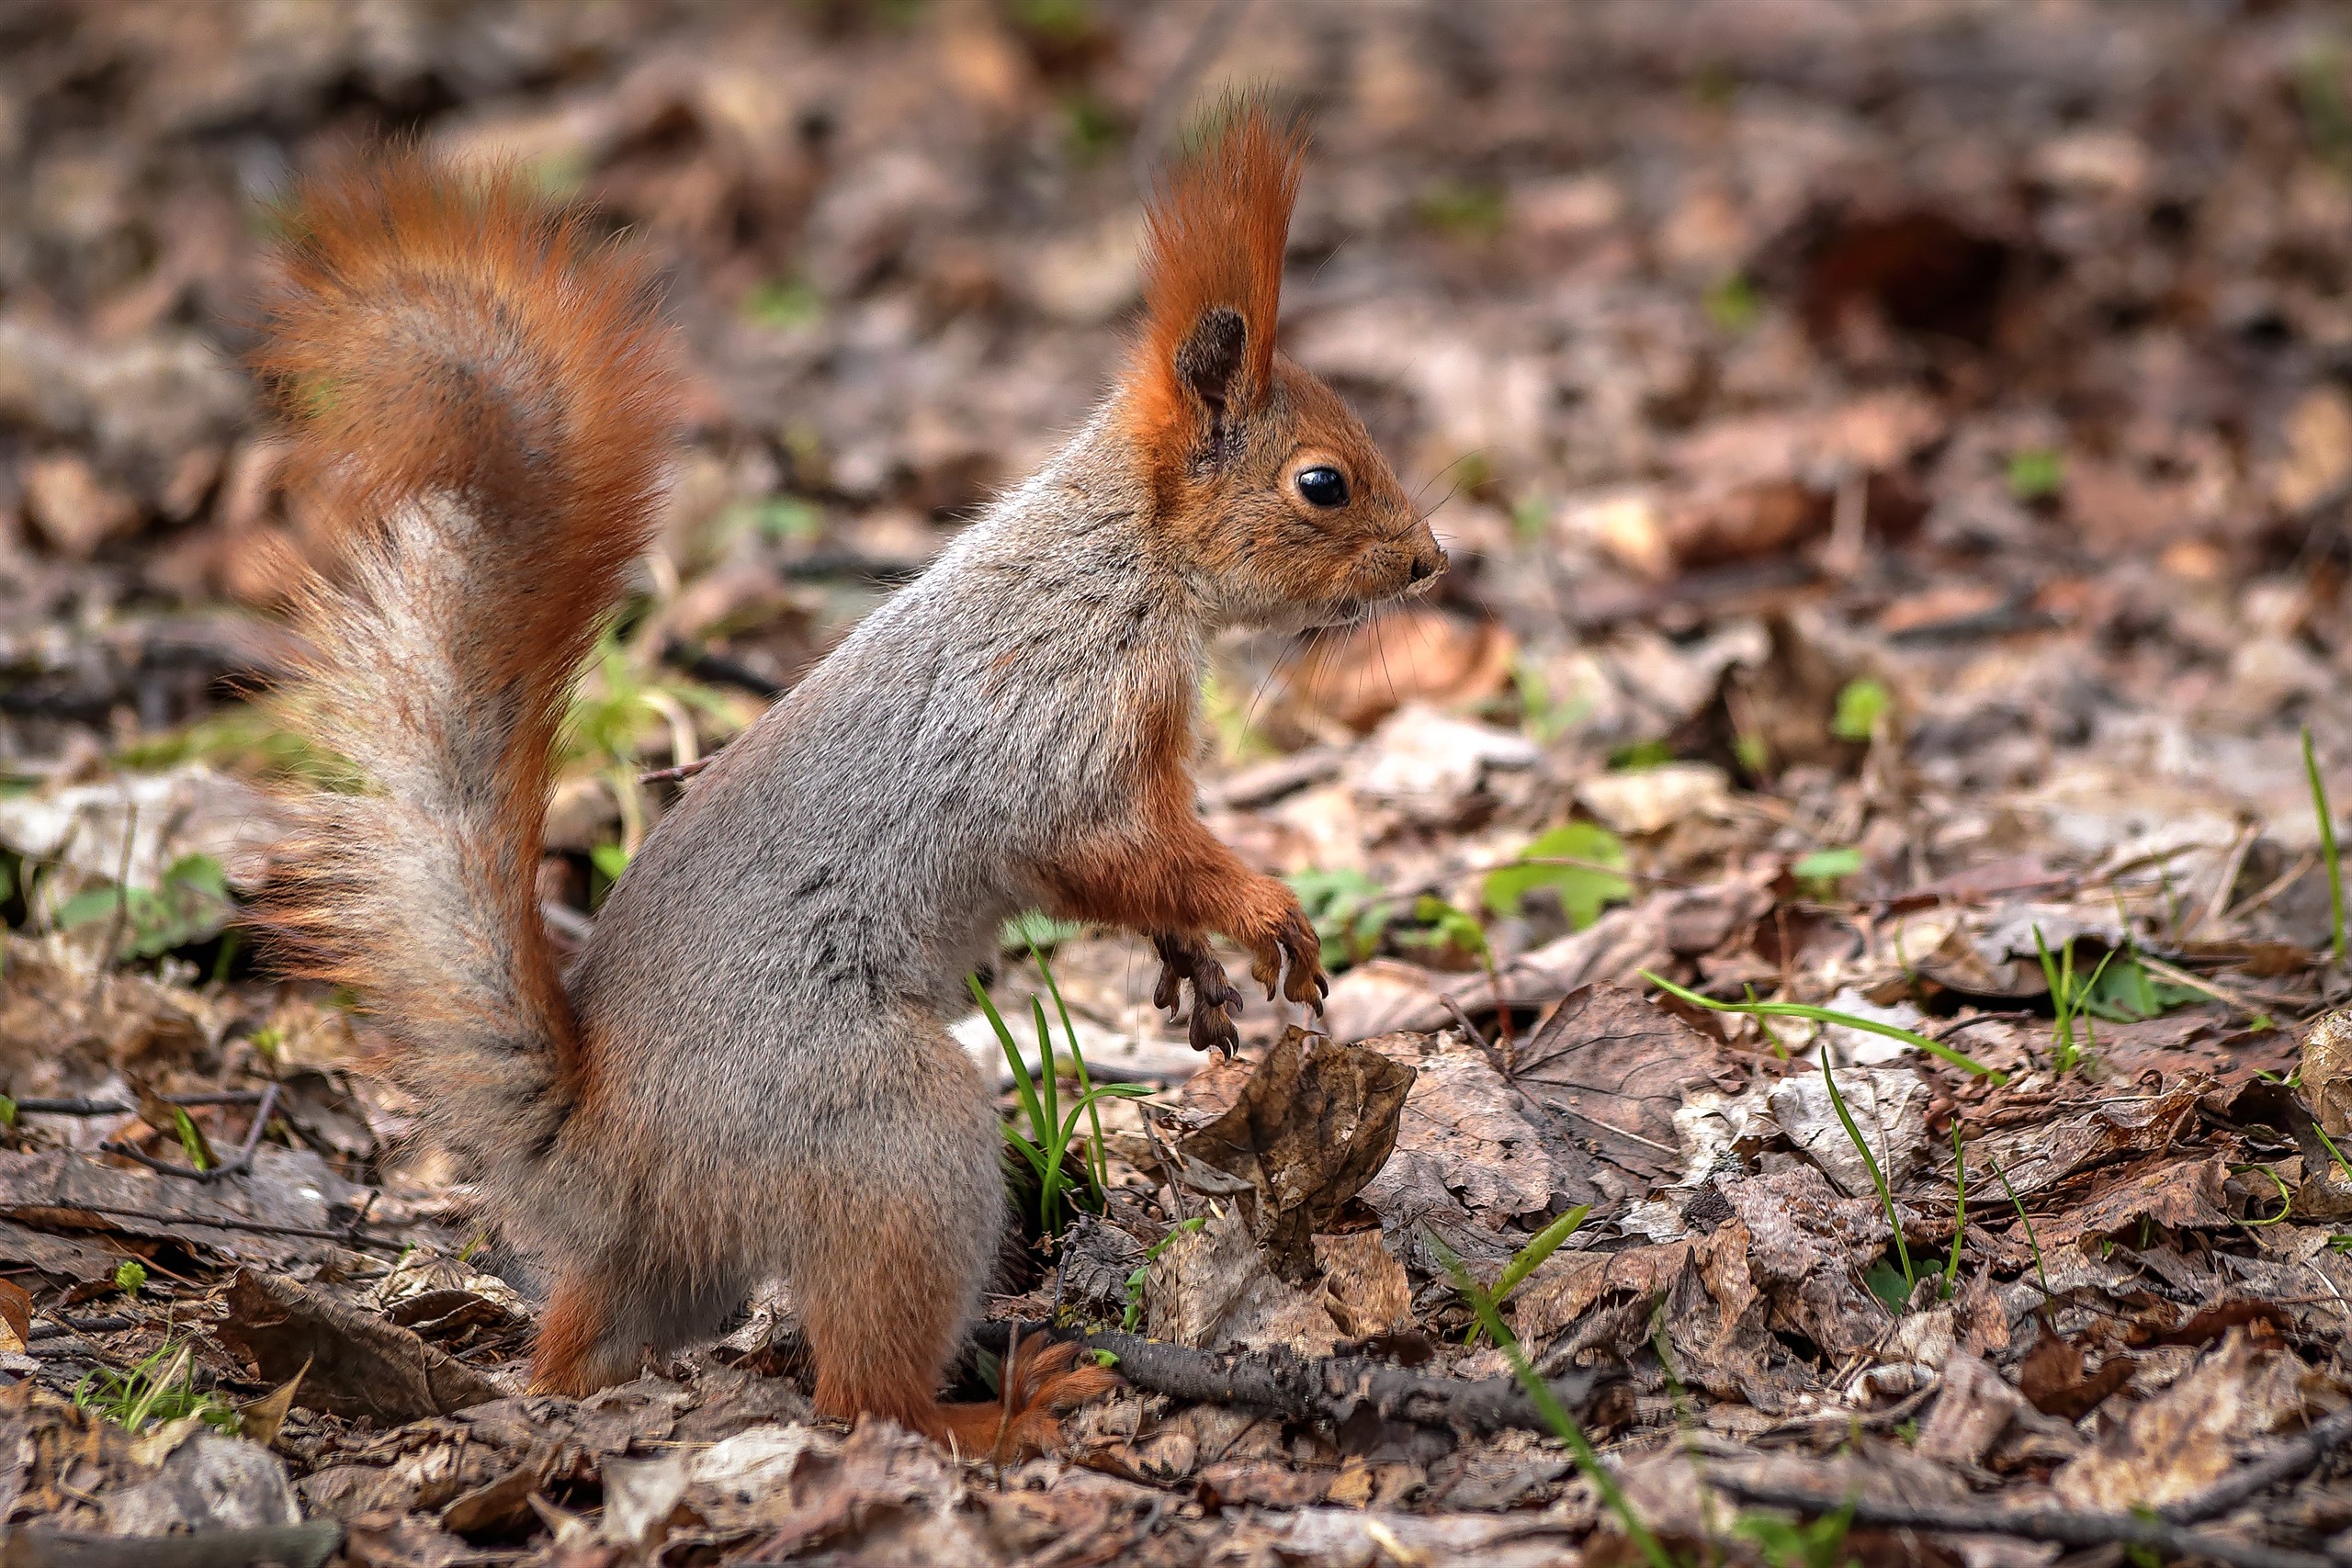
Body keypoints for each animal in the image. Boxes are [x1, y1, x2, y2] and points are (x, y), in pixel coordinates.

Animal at [258, 101, 1446, 1453]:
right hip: (890, 1139)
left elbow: (1144, 881)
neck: (1118, 561)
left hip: (688, 1260)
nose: (1431, 560)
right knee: (860, 1395)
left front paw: (1192, 964)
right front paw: (1262, 912)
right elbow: (1113, 854)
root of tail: (603, 1161)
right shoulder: (1049, 729)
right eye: (1321, 482)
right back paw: (999, 1414)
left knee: (592, 1344)